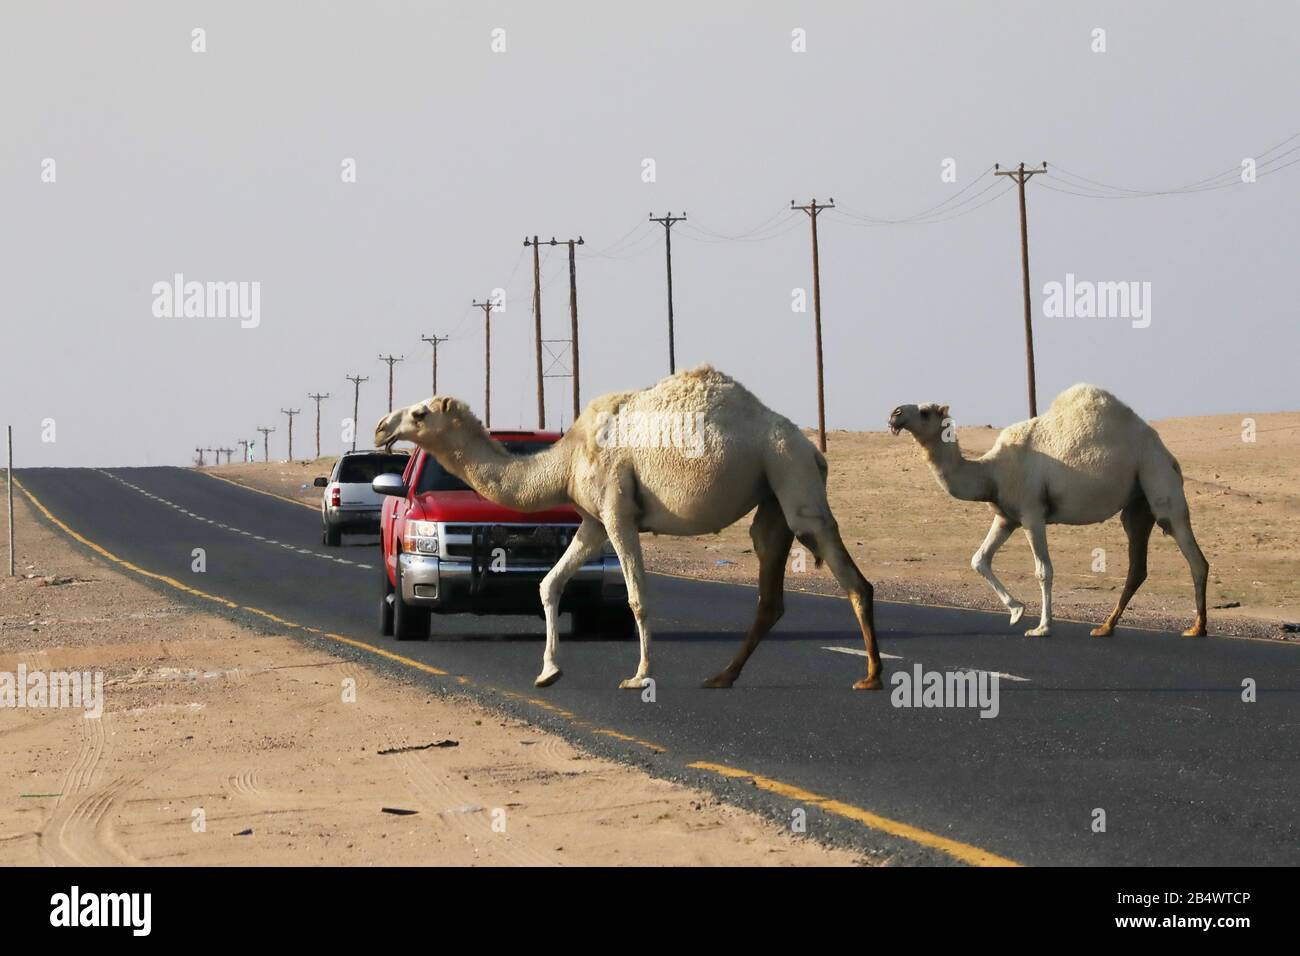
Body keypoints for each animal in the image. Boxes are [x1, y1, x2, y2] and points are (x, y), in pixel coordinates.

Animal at [377, 364, 883, 686]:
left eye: (420, 413)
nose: (382, 425)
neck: (565, 461)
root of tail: (811, 447)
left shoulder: (617, 511)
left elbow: (637, 596)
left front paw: (640, 675)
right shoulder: (593, 522)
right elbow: (549, 584)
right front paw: (548, 672)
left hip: (789, 470)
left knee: (841, 563)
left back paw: (872, 676)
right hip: (772, 491)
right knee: (770, 584)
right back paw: (722, 677)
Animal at [889, 385, 1211, 639]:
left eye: (926, 412)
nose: (895, 413)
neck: (992, 472)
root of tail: (1168, 456)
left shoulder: (1032, 513)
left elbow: (1043, 570)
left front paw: (1041, 627)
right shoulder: (1006, 516)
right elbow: (979, 559)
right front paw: (1017, 611)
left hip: (1157, 476)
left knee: (1191, 550)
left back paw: (1197, 627)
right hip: (1136, 501)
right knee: (1137, 564)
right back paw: (1105, 627)